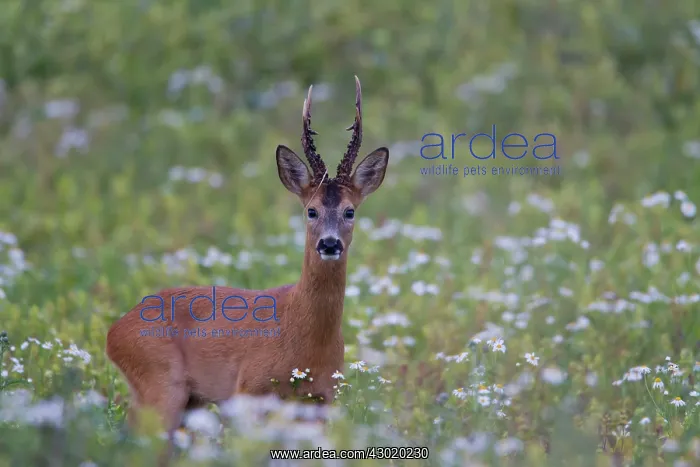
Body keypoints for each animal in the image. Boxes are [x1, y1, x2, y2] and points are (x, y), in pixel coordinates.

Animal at [105, 76, 389, 456]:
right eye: (311, 210)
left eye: (350, 211)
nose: (329, 244)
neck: (302, 338)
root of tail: (114, 330)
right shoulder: (247, 392)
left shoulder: (323, 401)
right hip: (160, 382)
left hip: (186, 400)